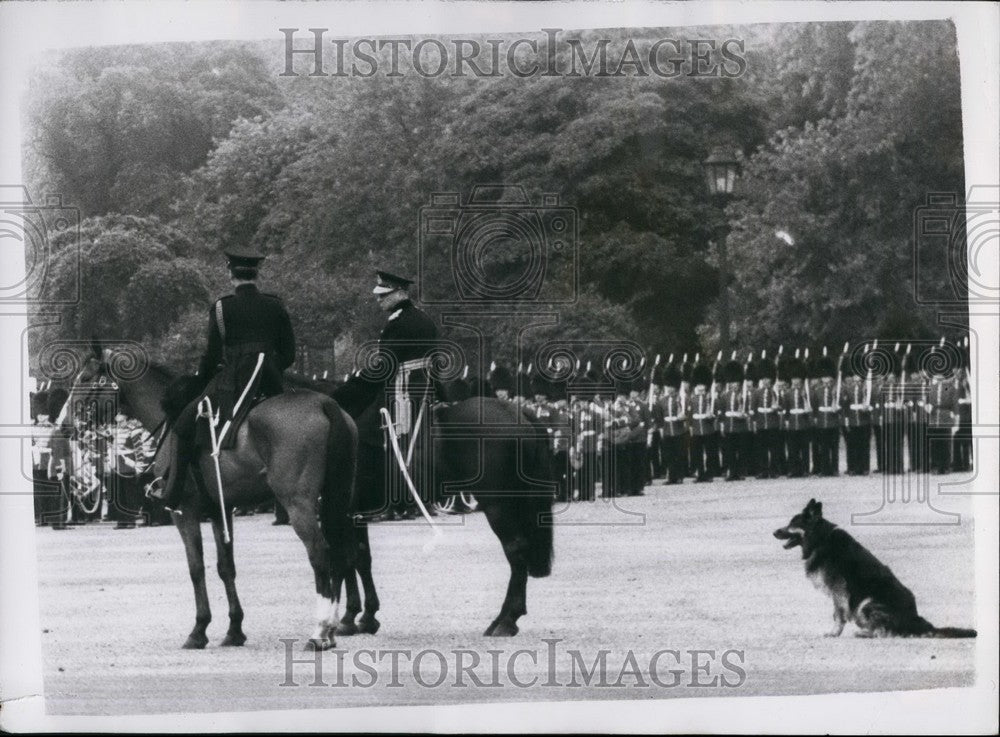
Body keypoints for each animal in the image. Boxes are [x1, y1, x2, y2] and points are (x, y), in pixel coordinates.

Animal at [56, 342, 358, 648]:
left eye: (84, 379)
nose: (63, 425)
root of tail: (325, 404)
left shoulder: (185, 511)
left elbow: (196, 567)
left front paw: (199, 629)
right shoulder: (218, 510)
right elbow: (226, 567)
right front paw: (234, 629)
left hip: (298, 503)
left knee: (320, 552)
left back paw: (320, 631)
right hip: (336, 498)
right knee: (342, 552)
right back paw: (333, 628)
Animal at [336, 394, 556, 636]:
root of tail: (515, 411)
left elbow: (347, 559)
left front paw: (348, 618)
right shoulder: (357, 514)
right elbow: (362, 558)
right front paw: (367, 616)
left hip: (498, 505)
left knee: (515, 550)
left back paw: (506, 621)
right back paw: (500, 620)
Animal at [772, 500, 976, 640]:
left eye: (792, 524)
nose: (774, 532)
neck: (820, 539)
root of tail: (915, 620)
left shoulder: (838, 591)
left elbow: (838, 615)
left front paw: (834, 633)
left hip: (866, 603)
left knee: (883, 632)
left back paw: (862, 633)